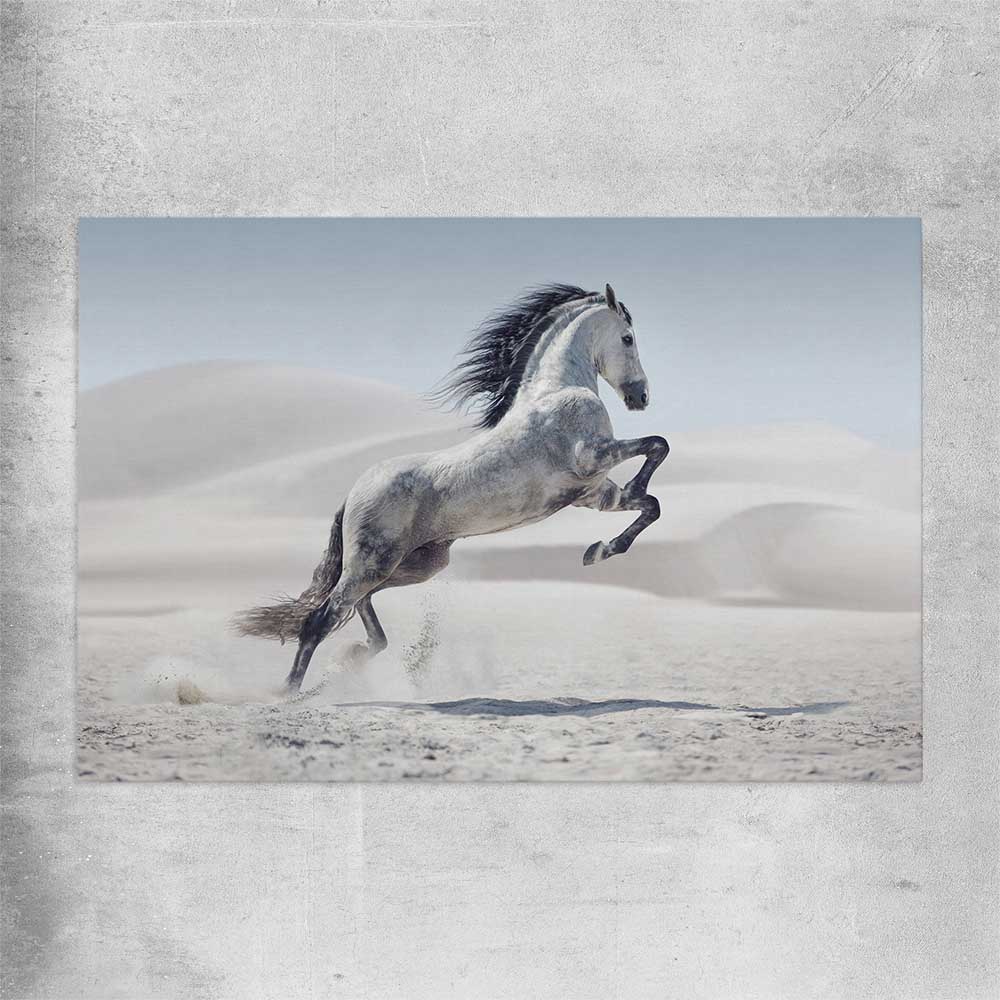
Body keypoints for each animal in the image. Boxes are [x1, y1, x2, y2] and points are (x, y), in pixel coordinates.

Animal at [233, 283, 669, 692]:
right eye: (628, 337)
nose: (641, 396)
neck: (556, 390)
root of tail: (354, 492)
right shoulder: (592, 457)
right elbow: (657, 445)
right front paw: (612, 528)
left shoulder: (593, 494)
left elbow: (651, 504)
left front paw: (599, 550)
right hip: (373, 563)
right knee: (321, 618)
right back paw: (290, 693)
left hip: (415, 565)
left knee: (359, 608)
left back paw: (352, 659)